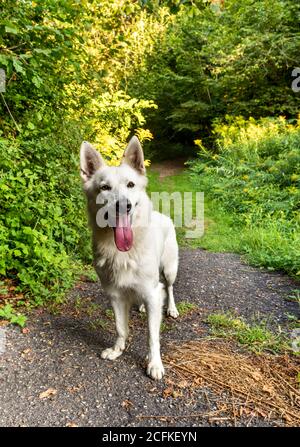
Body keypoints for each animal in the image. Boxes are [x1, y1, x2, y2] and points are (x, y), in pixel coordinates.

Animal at [79, 135, 178, 380]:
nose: (124, 205)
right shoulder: (115, 294)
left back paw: (171, 308)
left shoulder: (152, 292)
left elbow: (153, 336)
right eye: (104, 187)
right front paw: (117, 350)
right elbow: (120, 328)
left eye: (131, 185)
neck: (124, 252)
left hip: (169, 269)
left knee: (169, 288)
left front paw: (154, 363)